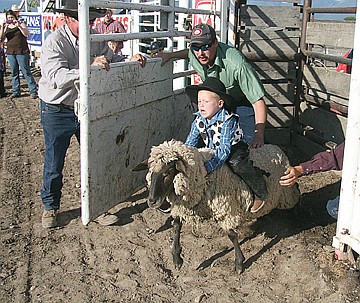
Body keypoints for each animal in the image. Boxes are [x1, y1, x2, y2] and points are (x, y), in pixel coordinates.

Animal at [139, 139, 300, 274]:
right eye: (151, 172)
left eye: (168, 172)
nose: (152, 201)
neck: (203, 177)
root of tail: (277, 149)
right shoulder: (183, 207)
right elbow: (176, 225)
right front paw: (177, 258)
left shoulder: (227, 210)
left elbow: (232, 235)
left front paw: (239, 264)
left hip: (286, 191)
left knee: (296, 191)